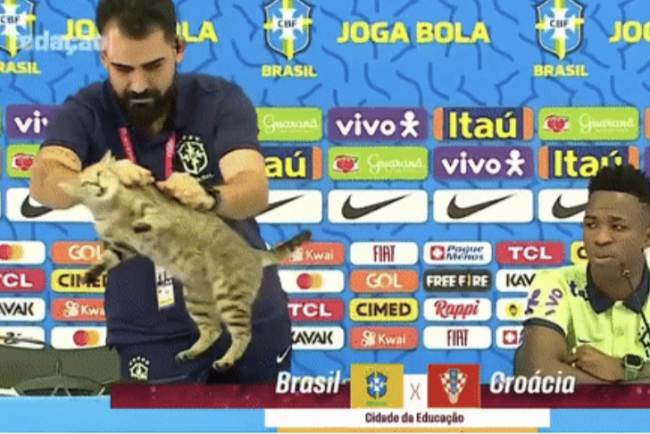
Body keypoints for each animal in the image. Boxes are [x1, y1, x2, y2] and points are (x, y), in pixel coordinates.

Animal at [59, 151, 310, 370]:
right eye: (87, 183)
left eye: (101, 173)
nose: (99, 186)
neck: (110, 208)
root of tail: (253, 252)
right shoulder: (123, 247)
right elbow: (108, 258)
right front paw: (91, 273)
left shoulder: (157, 211)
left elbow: (154, 218)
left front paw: (140, 223)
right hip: (197, 298)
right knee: (213, 330)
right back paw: (191, 352)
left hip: (228, 295)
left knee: (243, 333)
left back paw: (226, 360)